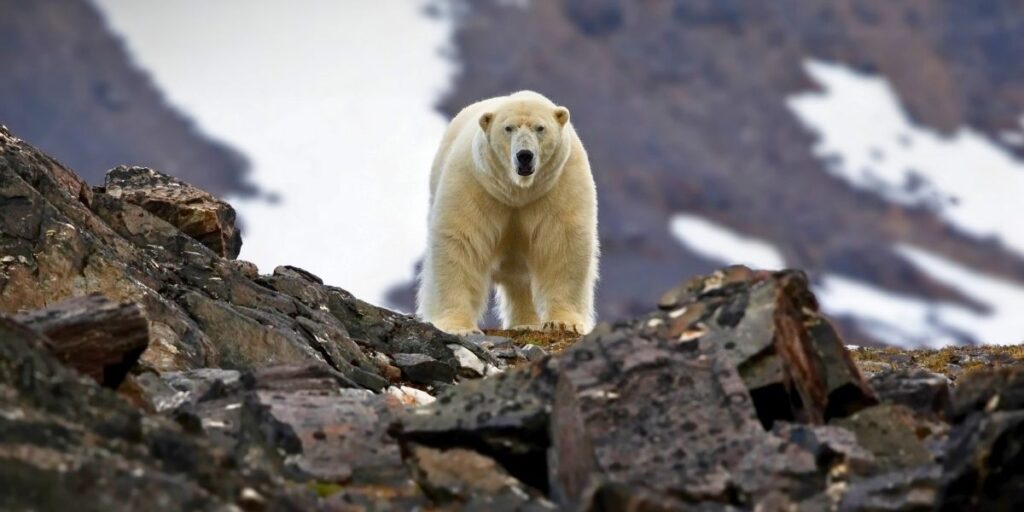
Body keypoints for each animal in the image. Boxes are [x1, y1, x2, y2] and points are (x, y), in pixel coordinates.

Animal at [417, 90, 599, 335]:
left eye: (540, 128)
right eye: (508, 128)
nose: (524, 155)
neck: (518, 191)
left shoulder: (559, 184)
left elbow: (563, 243)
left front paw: (563, 322)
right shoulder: (475, 184)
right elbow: (461, 242)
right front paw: (459, 326)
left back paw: (527, 323)